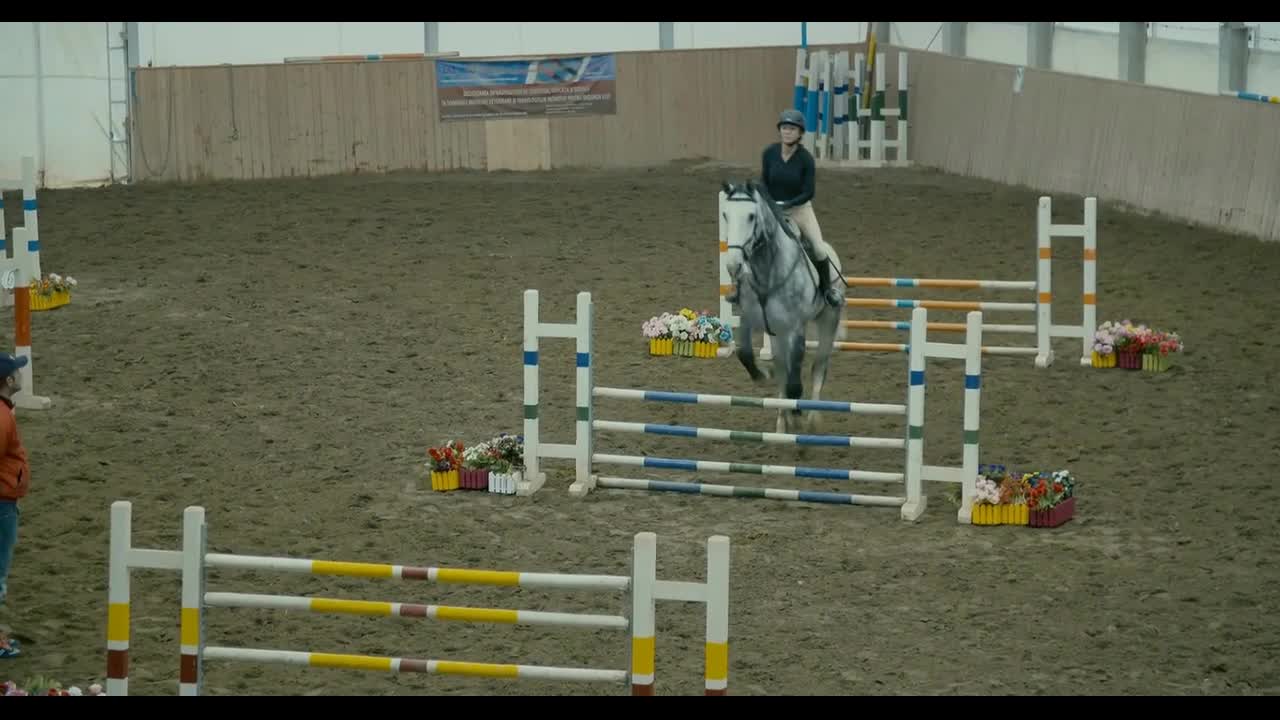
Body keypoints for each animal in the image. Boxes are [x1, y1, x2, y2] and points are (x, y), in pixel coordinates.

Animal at [727, 179, 844, 430]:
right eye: (726, 215)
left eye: (751, 216)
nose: (733, 266)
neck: (768, 269)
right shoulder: (750, 318)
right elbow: (744, 353)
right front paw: (763, 375)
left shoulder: (795, 327)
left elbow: (795, 380)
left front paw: (798, 416)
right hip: (777, 333)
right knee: (783, 369)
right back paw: (782, 420)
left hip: (828, 320)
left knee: (818, 367)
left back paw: (810, 420)